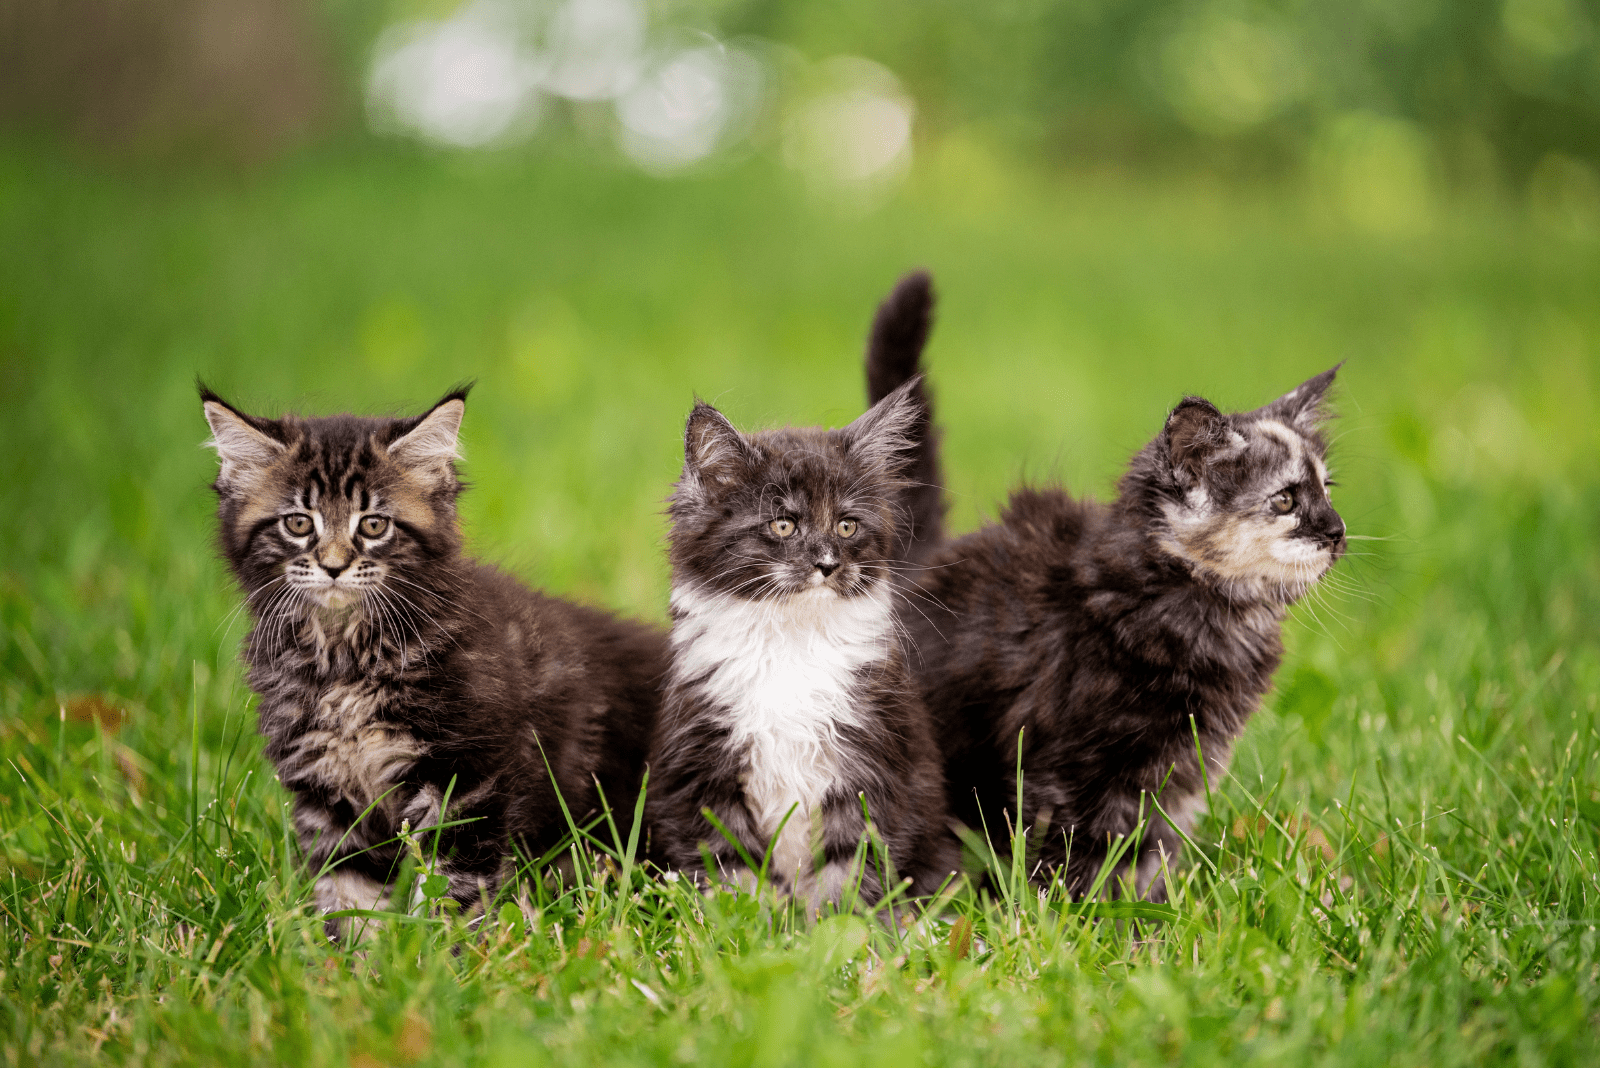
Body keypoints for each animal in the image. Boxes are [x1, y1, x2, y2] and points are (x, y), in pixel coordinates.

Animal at [203, 388, 665, 940]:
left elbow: (453, 886)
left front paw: (448, 954)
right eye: (298, 523)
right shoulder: (327, 793)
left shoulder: (467, 775)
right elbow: (348, 892)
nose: (334, 565)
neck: (345, 657)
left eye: (373, 525)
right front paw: (356, 958)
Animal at [640, 378, 960, 908]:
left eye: (847, 525)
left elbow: (850, 870)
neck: (790, 641)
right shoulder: (702, 770)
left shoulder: (871, 764)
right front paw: (751, 924)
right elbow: (734, 871)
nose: (827, 563)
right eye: (783, 525)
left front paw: (840, 928)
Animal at [870, 303, 1344, 895]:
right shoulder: (1066, 770)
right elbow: (1073, 856)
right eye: (1284, 501)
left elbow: (1153, 850)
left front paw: (1155, 909)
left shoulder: (1182, 771)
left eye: (1328, 491)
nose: (1338, 532)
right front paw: (1075, 912)